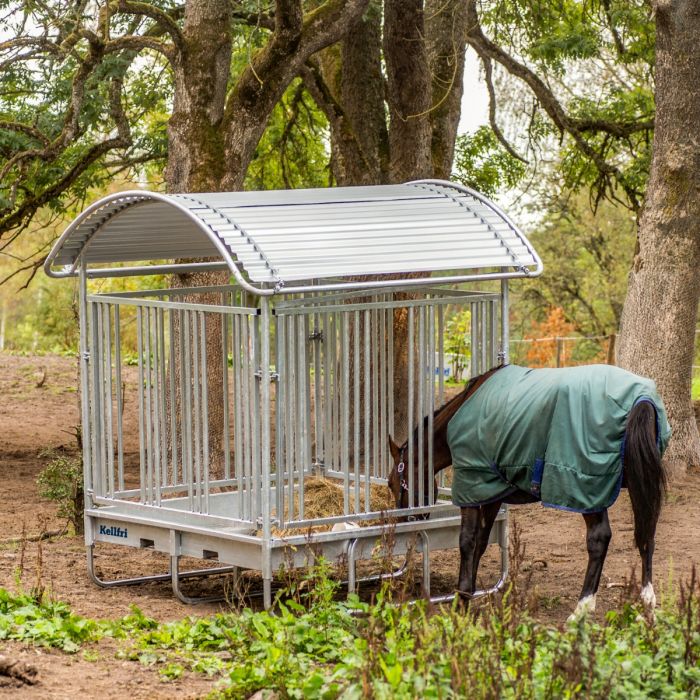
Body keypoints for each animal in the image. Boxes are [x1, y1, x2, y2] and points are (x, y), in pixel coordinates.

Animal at [388, 366, 668, 616]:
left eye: (392, 484)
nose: (405, 522)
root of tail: (641, 401)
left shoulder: (472, 485)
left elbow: (467, 541)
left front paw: (462, 600)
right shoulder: (490, 491)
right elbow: (480, 543)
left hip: (586, 489)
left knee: (599, 539)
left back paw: (582, 608)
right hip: (638, 484)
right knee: (647, 535)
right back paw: (647, 602)